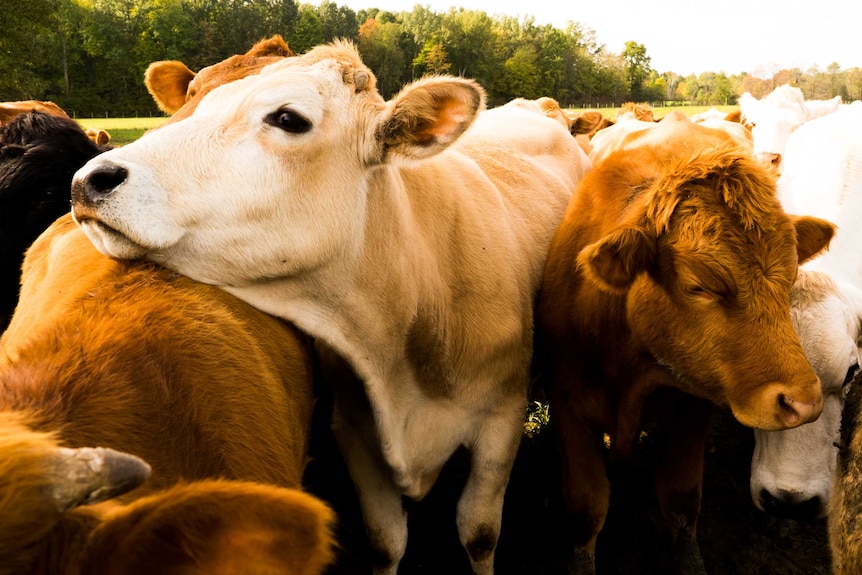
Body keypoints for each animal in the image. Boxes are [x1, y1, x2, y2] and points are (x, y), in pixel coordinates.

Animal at [71, 41, 592, 575]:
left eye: (288, 117)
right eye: (196, 97)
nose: (91, 178)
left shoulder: (502, 418)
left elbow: (480, 533)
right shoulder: (355, 429)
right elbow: (386, 539)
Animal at [536, 113, 840, 575]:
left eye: (789, 279)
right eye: (700, 286)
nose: (803, 403)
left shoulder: (691, 409)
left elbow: (680, 499)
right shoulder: (568, 404)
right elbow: (586, 509)